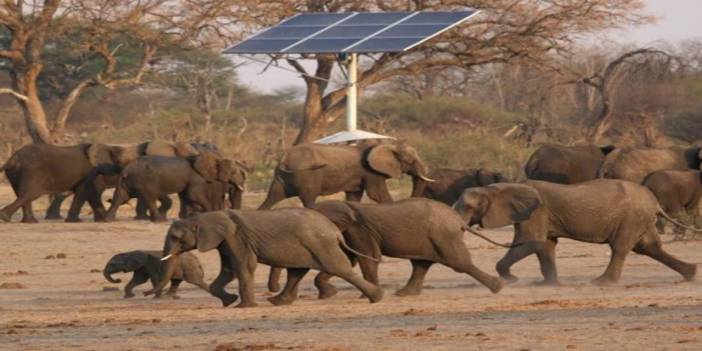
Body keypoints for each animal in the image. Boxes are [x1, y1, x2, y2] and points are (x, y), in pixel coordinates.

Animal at [145, 210, 382, 310]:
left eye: (177, 238)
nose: (146, 294)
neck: (204, 216)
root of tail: (335, 230)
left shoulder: (236, 238)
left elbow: (242, 267)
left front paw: (243, 307)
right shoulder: (225, 242)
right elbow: (229, 270)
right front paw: (229, 301)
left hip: (320, 244)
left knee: (340, 268)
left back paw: (376, 298)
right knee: (296, 272)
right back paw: (277, 302)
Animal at [258, 142, 434, 210]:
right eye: (411, 161)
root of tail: (284, 157)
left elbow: (354, 197)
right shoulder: (371, 173)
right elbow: (376, 194)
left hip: (281, 177)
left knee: (273, 196)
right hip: (307, 174)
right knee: (309, 198)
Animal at [306, 201, 504, 300]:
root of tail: (458, 219)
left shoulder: (358, 229)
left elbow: (368, 257)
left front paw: (364, 296)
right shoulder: (352, 231)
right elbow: (349, 259)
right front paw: (329, 295)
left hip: (443, 234)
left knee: (458, 263)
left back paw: (498, 287)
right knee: (420, 264)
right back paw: (405, 293)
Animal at [456, 180, 700, 288]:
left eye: (469, 207)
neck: (497, 187)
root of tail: (654, 201)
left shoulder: (536, 212)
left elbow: (531, 243)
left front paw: (511, 279)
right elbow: (545, 246)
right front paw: (548, 284)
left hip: (632, 217)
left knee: (620, 247)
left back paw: (601, 282)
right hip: (640, 218)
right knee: (649, 247)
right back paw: (691, 273)